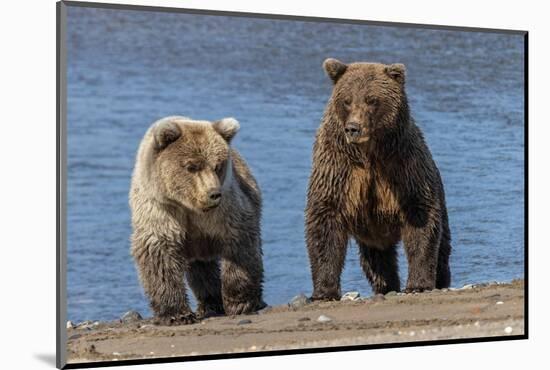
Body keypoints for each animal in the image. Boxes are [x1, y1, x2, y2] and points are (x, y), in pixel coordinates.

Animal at [130, 115, 266, 324]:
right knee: (202, 270)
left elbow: (239, 246)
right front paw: (176, 314)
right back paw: (210, 303)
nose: (213, 194)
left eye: (218, 166)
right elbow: (159, 254)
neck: (188, 206)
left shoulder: (225, 211)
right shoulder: (161, 210)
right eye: (191, 166)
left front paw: (239, 303)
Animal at [306, 58, 452, 300]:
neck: (369, 154)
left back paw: (441, 281)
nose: (353, 128)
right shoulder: (338, 169)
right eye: (347, 100)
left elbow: (421, 219)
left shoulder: (403, 166)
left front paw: (419, 284)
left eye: (371, 99)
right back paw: (386, 285)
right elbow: (325, 220)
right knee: (377, 262)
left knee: (443, 248)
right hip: (371, 235)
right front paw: (324, 290)